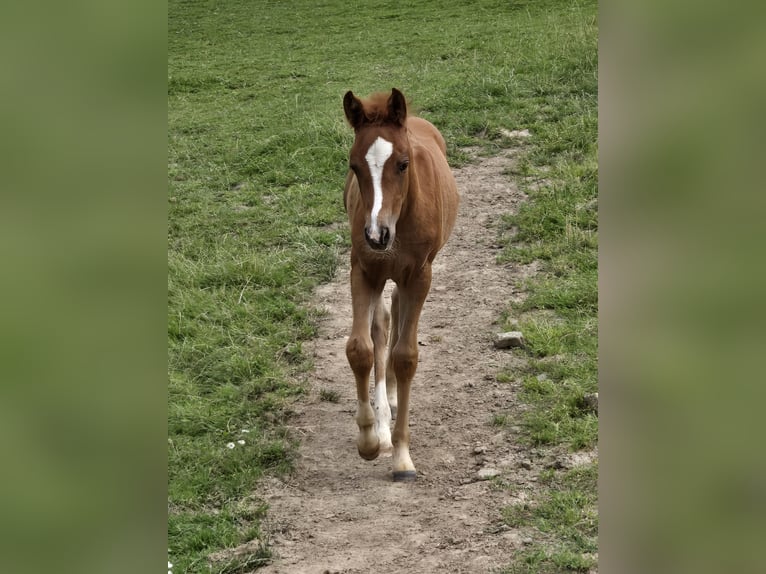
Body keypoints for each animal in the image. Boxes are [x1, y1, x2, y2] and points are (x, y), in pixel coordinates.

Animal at [344, 88, 462, 482]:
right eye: (354, 166)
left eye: (403, 164)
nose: (376, 234)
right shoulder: (363, 270)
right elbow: (360, 349)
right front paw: (369, 440)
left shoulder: (420, 276)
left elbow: (407, 357)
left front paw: (402, 458)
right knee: (381, 326)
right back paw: (382, 419)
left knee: (395, 313)